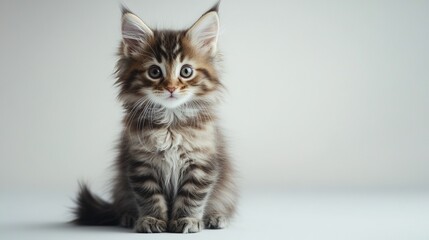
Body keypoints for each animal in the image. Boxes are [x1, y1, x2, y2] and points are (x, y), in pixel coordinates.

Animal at [71, 2, 236, 233]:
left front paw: (187, 219)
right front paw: (152, 219)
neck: (171, 123)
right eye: (155, 72)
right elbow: (149, 196)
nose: (171, 88)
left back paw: (215, 216)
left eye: (186, 71)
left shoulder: (201, 163)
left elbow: (192, 196)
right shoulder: (141, 164)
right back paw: (129, 216)